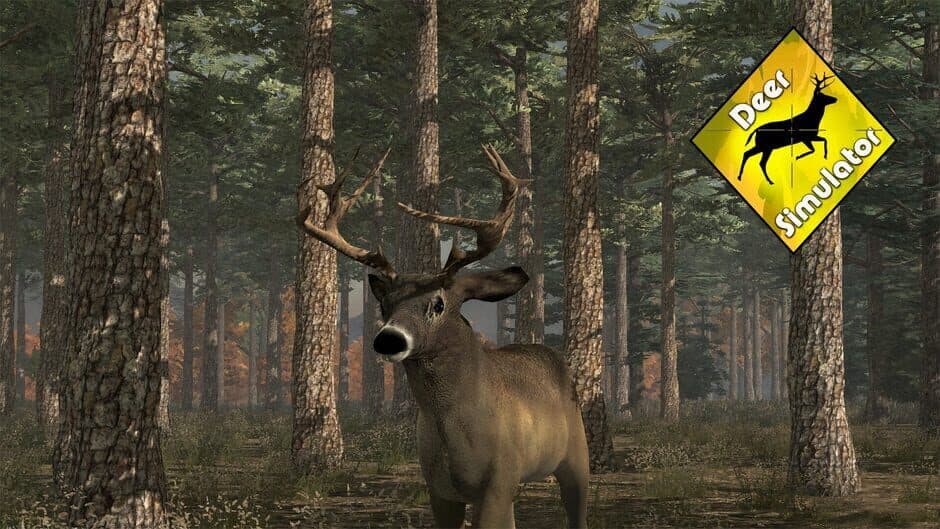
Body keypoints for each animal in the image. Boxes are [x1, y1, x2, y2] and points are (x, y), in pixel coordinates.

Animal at [296, 145, 590, 529]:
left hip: (576, 454)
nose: (388, 339)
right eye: (385, 304)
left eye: (438, 303)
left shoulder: (498, 480)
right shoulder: (439, 489)